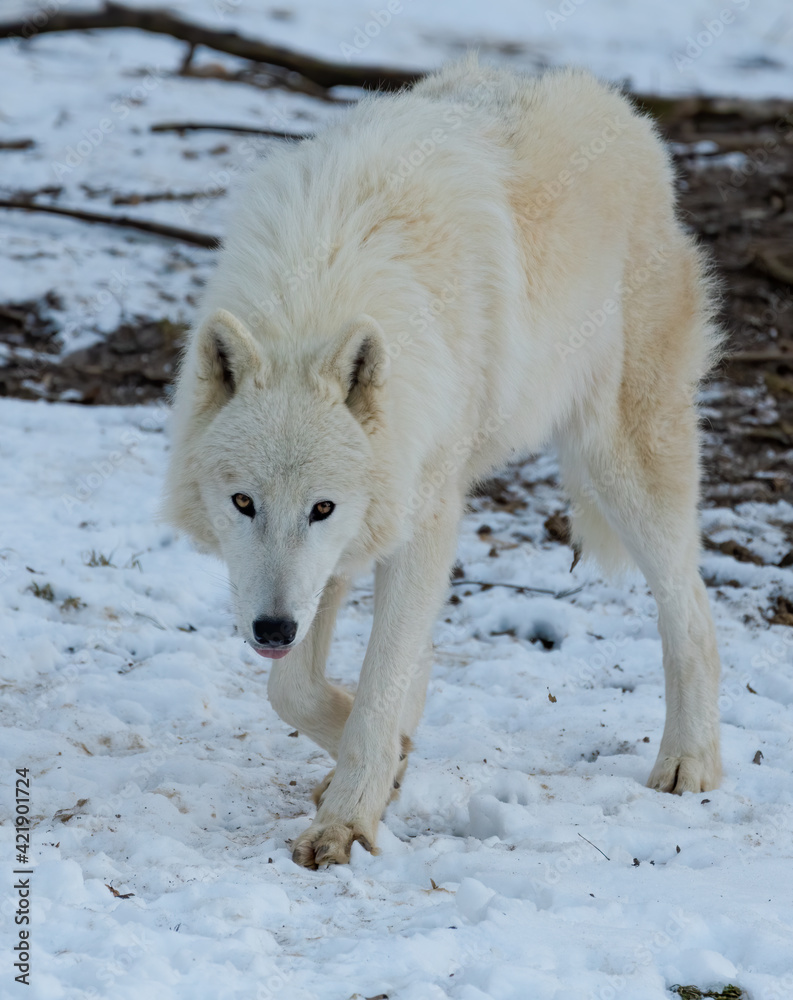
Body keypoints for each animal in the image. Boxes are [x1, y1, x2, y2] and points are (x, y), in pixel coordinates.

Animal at [164, 57, 723, 868]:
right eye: (243, 504)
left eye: (320, 507)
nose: (269, 630)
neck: (322, 283)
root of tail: (619, 107)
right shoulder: (345, 550)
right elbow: (296, 691)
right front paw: (385, 758)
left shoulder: (418, 517)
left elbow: (377, 681)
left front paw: (348, 817)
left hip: (621, 463)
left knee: (691, 609)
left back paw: (690, 763)